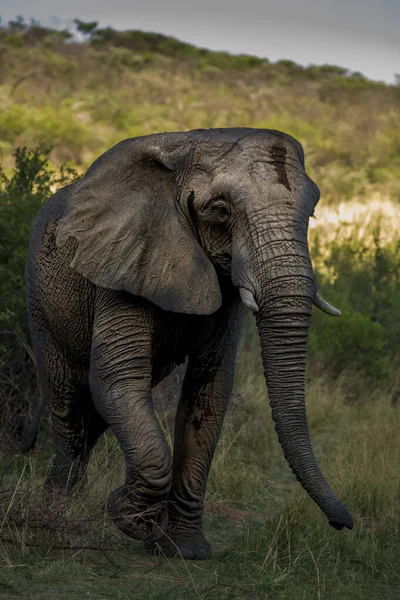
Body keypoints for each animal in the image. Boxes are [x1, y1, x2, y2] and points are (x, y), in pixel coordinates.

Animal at [23, 126, 352, 556]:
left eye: (311, 213)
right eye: (220, 210)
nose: (342, 523)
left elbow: (209, 388)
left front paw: (185, 550)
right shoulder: (123, 258)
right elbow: (116, 377)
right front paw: (131, 519)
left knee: (94, 416)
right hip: (42, 302)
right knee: (69, 405)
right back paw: (53, 514)